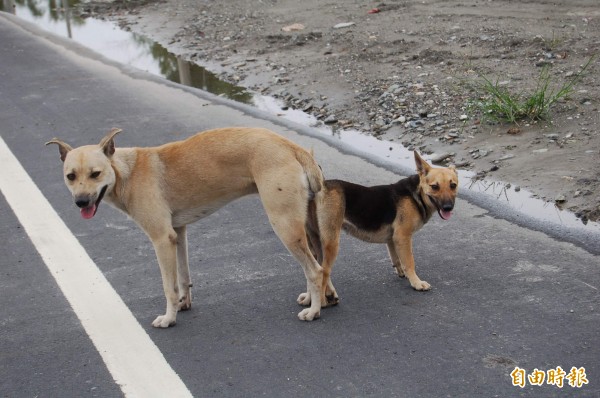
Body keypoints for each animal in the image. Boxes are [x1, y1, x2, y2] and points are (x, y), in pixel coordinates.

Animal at [45, 126, 328, 326]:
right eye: (71, 176)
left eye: (96, 174)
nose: (81, 202)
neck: (126, 172)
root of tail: (293, 147)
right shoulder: (178, 235)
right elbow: (183, 278)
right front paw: (183, 304)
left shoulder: (161, 239)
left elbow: (168, 286)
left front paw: (169, 318)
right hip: (299, 225)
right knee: (313, 264)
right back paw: (311, 298)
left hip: (284, 226)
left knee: (315, 270)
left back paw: (314, 311)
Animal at [304, 152, 460, 308]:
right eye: (434, 187)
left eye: (453, 185)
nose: (448, 208)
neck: (417, 195)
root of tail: (322, 187)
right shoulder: (403, 237)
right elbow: (410, 262)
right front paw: (416, 282)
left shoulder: (393, 239)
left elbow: (397, 259)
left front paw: (402, 273)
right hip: (331, 243)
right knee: (323, 272)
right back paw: (322, 302)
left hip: (316, 243)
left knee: (315, 270)